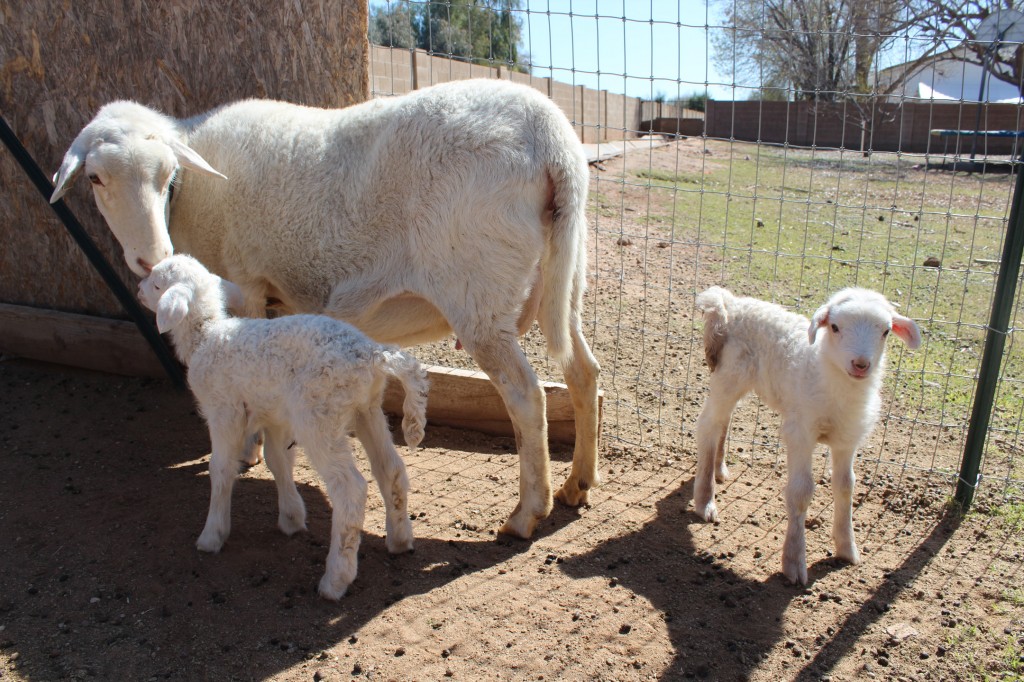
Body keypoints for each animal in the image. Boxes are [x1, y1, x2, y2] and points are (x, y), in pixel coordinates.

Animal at [49, 78, 598, 536]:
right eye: (95, 179)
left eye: (165, 174)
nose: (151, 257)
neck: (192, 189)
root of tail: (550, 137)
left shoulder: (246, 280)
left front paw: (248, 449)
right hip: (564, 273)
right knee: (582, 371)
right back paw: (578, 484)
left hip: (476, 288)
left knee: (526, 398)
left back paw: (527, 513)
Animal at [138, 251, 425, 598]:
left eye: (156, 284)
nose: (137, 291)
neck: (207, 333)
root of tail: (372, 353)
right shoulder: (273, 415)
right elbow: (278, 461)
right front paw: (291, 518)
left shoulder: (224, 410)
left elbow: (220, 468)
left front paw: (212, 535)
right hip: (365, 408)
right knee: (391, 471)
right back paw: (400, 540)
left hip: (318, 415)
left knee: (350, 490)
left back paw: (336, 579)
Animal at [692, 284, 925, 581]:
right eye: (835, 327)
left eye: (885, 331)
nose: (861, 364)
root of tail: (733, 305)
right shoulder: (800, 431)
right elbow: (801, 492)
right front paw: (793, 561)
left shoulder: (846, 439)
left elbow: (846, 487)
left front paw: (847, 547)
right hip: (729, 374)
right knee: (708, 425)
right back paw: (705, 500)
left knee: (724, 420)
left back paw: (719, 468)